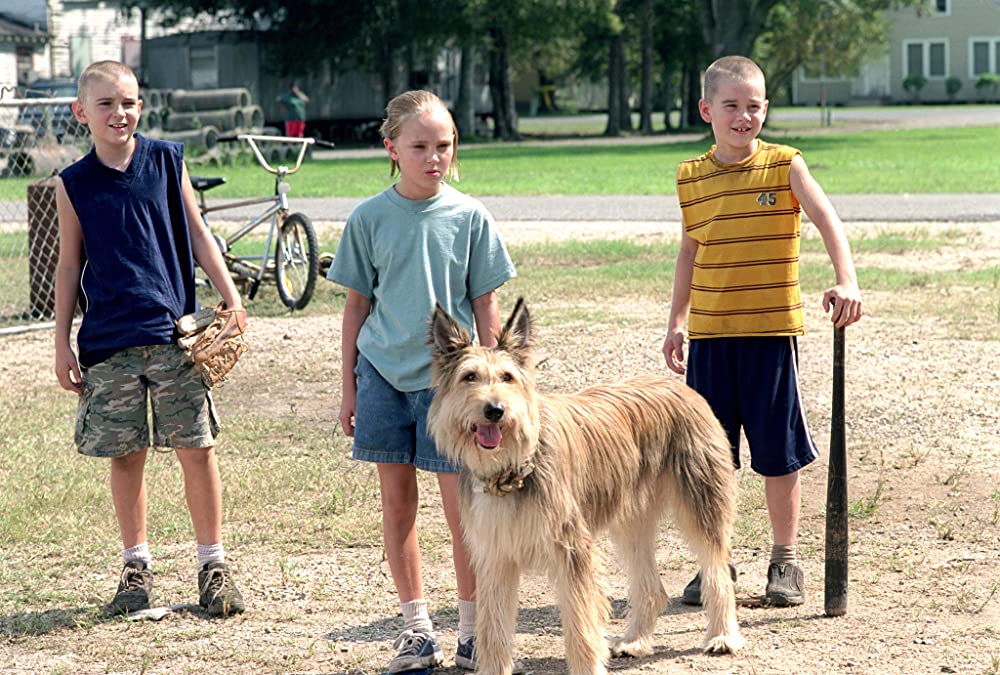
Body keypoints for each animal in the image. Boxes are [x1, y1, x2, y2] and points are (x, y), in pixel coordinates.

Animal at [426, 300, 748, 675]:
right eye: (469, 377)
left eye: (507, 377)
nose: (495, 410)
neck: (513, 467)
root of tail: (682, 387)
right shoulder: (496, 557)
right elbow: (493, 628)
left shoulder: (573, 550)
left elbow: (581, 624)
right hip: (632, 521)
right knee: (651, 588)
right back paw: (635, 641)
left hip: (701, 505)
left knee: (717, 571)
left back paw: (723, 636)